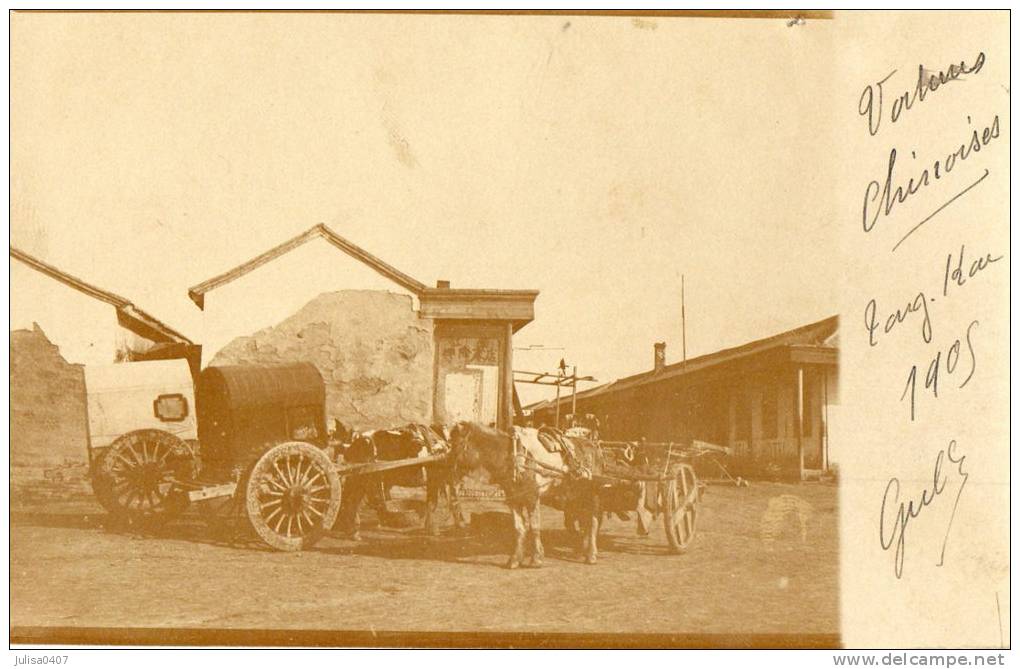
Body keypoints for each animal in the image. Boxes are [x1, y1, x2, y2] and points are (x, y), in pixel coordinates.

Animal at [334, 426, 467, 542]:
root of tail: (355, 439)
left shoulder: (441, 481)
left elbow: (444, 502)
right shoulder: (436, 480)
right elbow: (440, 503)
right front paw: (438, 529)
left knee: (348, 498)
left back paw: (346, 528)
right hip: (362, 477)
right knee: (351, 500)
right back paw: (351, 530)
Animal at [448, 420, 603, 567]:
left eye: (457, 444)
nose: (448, 471)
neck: (515, 458)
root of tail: (594, 447)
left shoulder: (532, 498)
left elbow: (534, 527)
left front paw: (536, 559)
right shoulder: (514, 500)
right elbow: (519, 529)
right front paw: (515, 559)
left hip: (592, 495)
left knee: (593, 523)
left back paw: (591, 555)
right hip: (576, 497)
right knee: (583, 522)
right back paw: (581, 551)